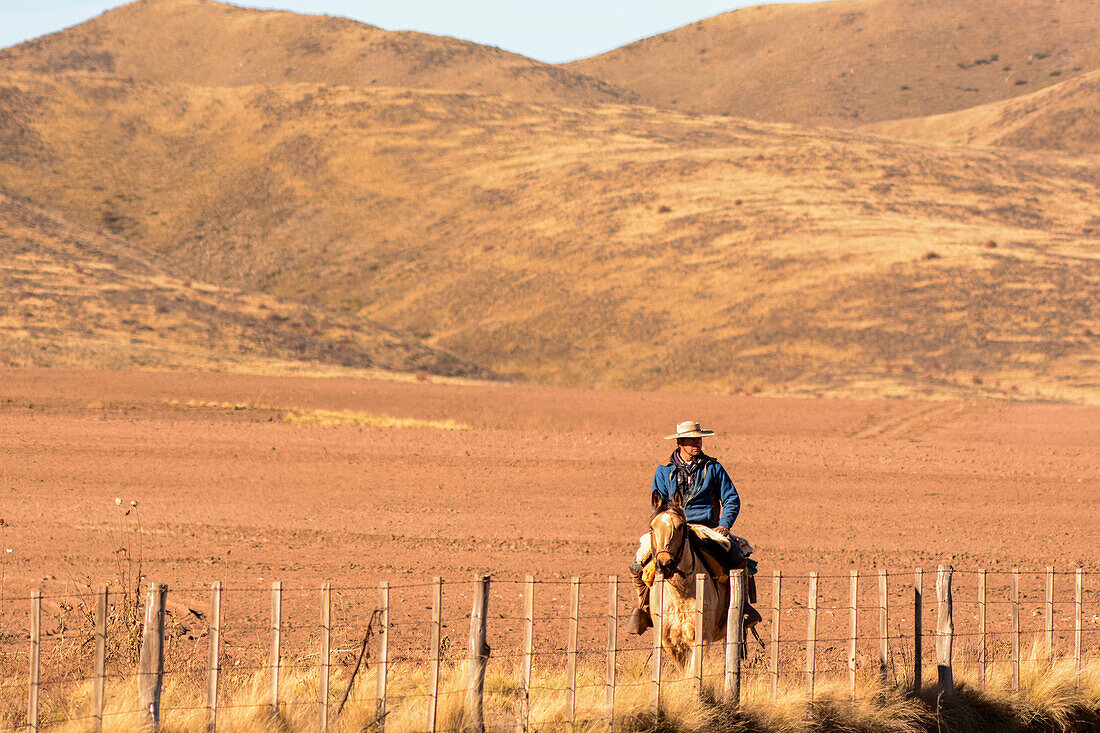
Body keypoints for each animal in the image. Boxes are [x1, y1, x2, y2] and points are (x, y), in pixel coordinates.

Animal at [642, 488, 730, 669]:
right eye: (652, 528)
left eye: (680, 526)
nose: (665, 564)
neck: (680, 593)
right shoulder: (669, 643)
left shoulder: (701, 640)